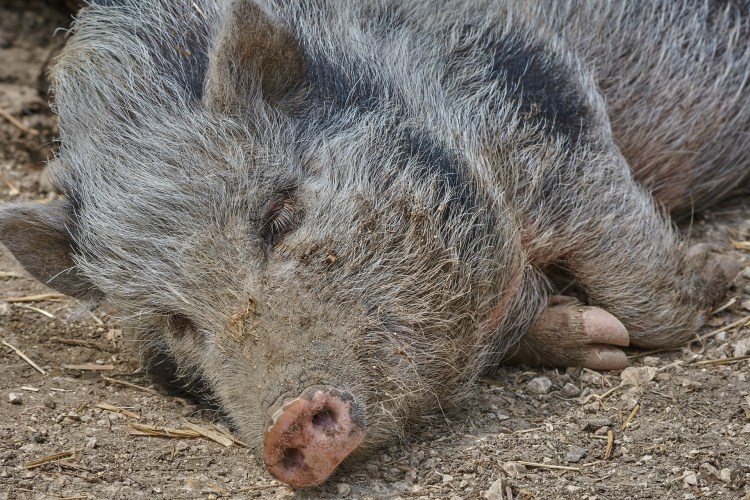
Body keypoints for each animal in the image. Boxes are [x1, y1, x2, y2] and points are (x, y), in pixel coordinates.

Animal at [0, 0, 747, 488]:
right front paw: (595, 337)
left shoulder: (543, 98)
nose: (285, 422)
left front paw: (716, 273)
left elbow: (641, 284)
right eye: (177, 323)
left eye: (280, 214)